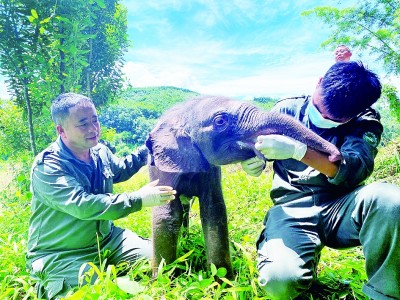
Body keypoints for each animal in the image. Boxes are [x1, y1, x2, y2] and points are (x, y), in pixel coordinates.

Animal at [145, 95, 340, 278]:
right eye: (220, 121)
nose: (337, 157)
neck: (184, 112)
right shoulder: (163, 167)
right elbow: (167, 214)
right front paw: (164, 280)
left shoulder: (210, 170)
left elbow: (214, 211)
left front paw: (223, 282)